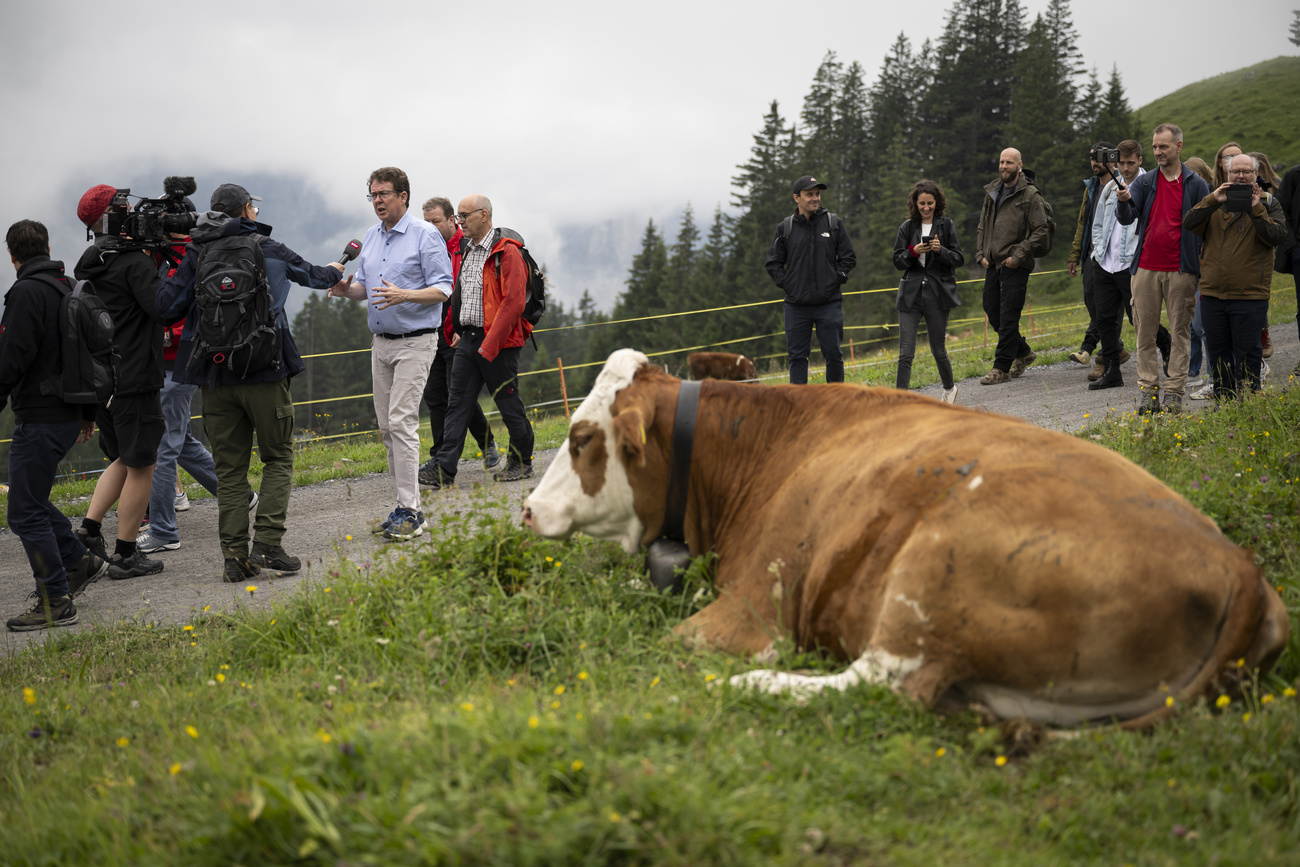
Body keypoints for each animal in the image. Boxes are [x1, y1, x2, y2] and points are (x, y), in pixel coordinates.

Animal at [520, 348, 1289, 727]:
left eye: (581, 438)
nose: (526, 508)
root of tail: (1238, 565)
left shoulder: (749, 611)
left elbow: (667, 644)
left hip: (932, 571)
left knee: (884, 683)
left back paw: (753, 685)